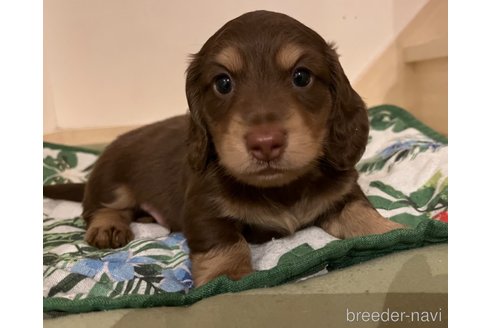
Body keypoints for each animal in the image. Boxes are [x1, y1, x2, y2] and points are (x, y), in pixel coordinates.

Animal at [43, 10, 404, 288]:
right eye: (223, 82)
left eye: (302, 76)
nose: (265, 143)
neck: (281, 188)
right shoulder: (204, 208)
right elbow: (225, 243)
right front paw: (227, 278)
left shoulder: (341, 191)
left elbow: (360, 211)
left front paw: (391, 231)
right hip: (112, 180)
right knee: (101, 207)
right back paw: (108, 226)